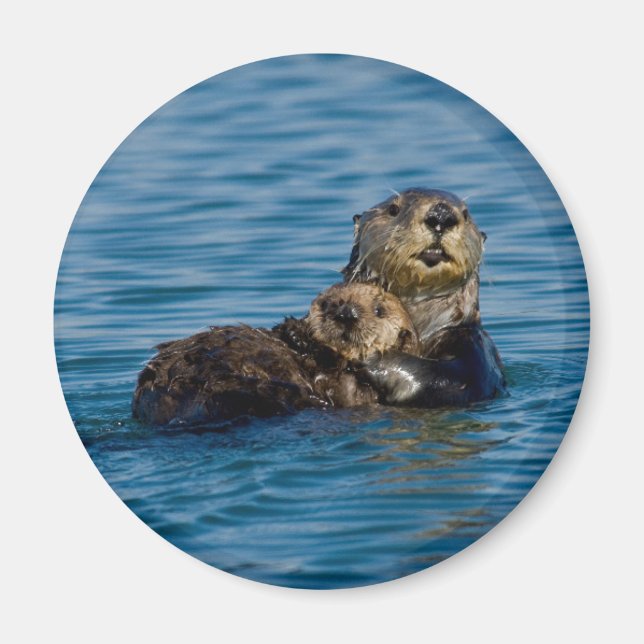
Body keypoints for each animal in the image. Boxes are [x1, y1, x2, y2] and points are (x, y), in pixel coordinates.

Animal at [344, 188, 505, 406]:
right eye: (393, 209)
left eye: (466, 214)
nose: (441, 215)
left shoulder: (477, 350)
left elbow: (449, 380)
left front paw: (370, 356)